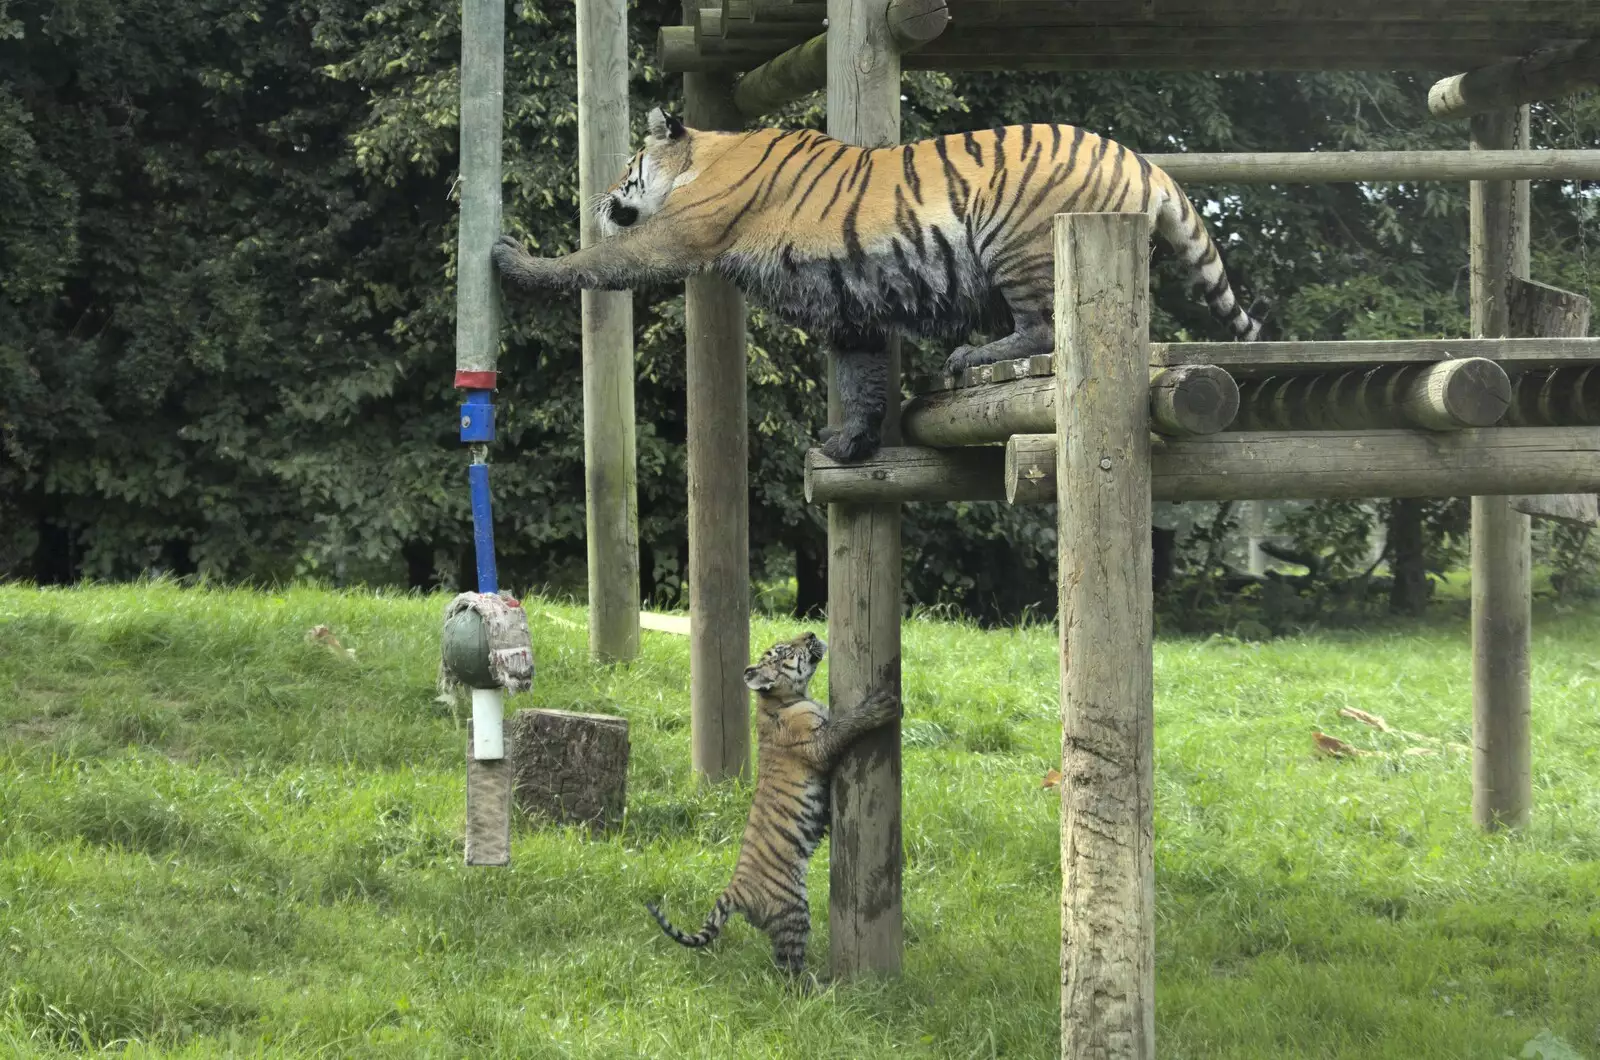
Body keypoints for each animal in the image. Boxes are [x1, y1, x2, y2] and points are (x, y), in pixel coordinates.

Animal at [489, 107, 1260, 464]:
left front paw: (516, 260)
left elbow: (598, 261)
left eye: (628, 165)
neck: (702, 158)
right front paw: (848, 446)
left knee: (1041, 329)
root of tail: (1143, 161)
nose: (602, 194)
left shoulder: (681, 235)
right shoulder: (849, 307)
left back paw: (972, 355)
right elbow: (860, 378)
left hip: (1021, 242)